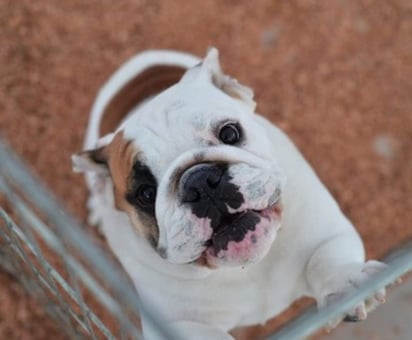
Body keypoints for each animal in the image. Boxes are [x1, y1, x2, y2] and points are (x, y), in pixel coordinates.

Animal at [71, 48, 390, 340]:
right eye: (146, 193)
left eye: (229, 133)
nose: (199, 181)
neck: (247, 265)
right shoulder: (178, 325)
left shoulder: (324, 235)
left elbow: (327, 260)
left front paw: (347, 285)